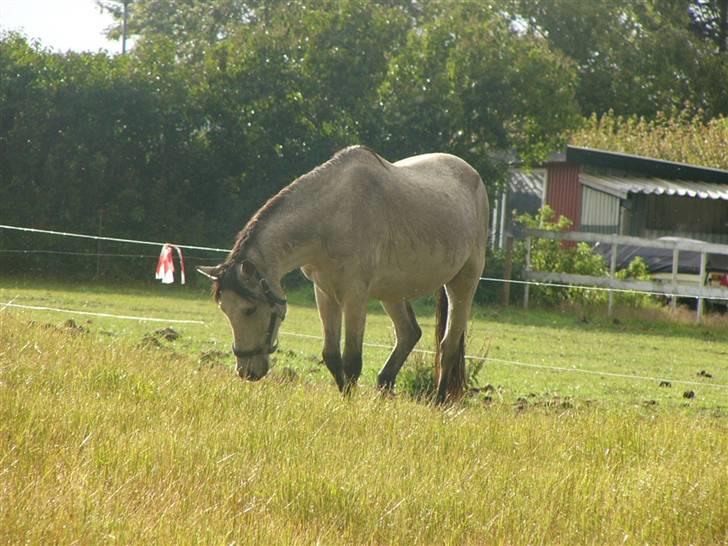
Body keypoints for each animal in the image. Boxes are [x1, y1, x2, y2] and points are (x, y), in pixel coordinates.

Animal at [198, 144, 490, 400]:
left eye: (249, 310)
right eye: (225, 309)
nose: (246, 372)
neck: (331, 217)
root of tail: (474, 177)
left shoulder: (355, 296)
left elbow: (352, 360)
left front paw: (350, 405)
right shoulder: (324, 291)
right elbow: (331, 355)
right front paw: (344, 397)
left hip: (463, 283)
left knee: (448, 346)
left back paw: (438, 401)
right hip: (392, 292)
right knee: (409, 333)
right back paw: (384, 388)